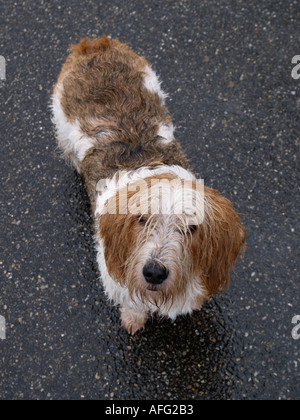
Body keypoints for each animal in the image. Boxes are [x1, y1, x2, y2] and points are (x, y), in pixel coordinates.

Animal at [51, 37, 246, 336]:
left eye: (192, 228)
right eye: (141, 219)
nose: (154, 272)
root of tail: (95, 44)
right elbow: (132, 303)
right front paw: (133, 318)